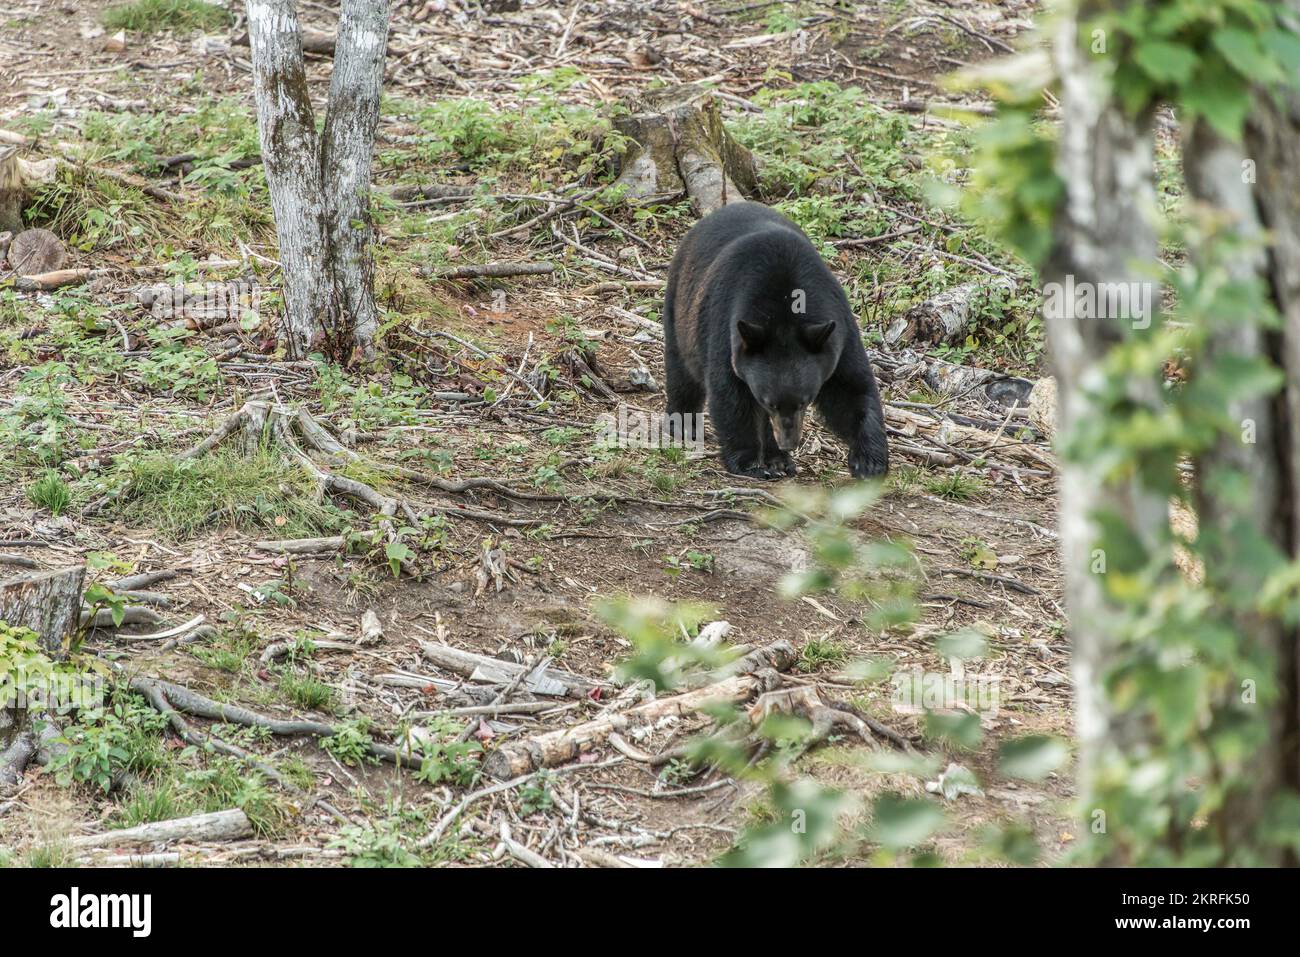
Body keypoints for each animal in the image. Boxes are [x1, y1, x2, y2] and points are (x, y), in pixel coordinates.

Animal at [662, 201, 889, 480]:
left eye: (805, 400)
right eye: (768, 401)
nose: (788, 442)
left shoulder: (838, 332)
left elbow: (850, 389)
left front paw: (869, 461)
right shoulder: (728, 325)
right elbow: (730, 394)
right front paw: (749, 462)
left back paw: (778, 459)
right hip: (680, 305)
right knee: (682, 372)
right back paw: (683, 425)